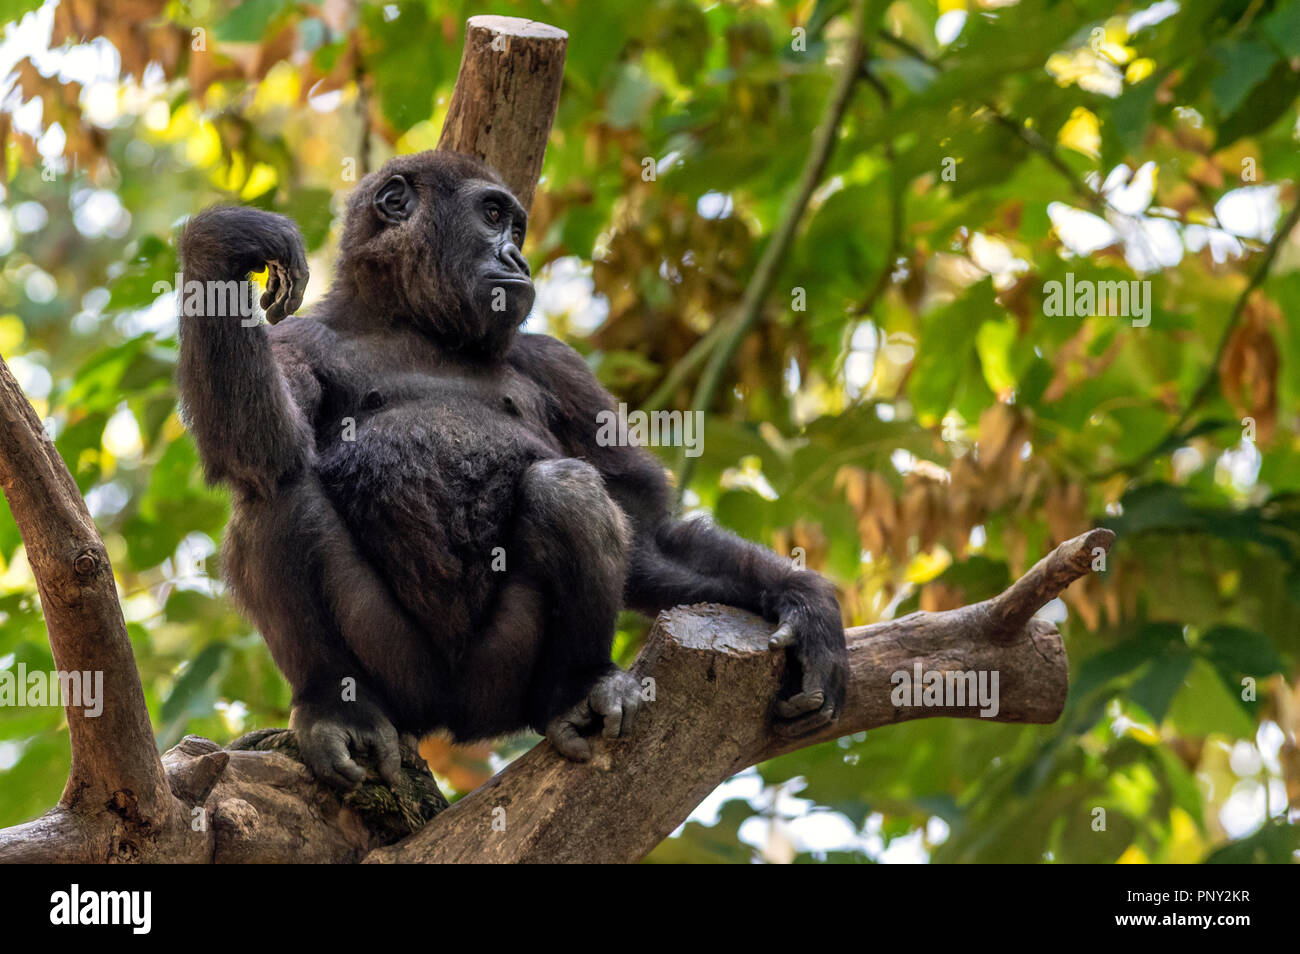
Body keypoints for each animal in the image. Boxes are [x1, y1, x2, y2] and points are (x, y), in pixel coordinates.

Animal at [176, 149, 848, 790]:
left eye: (516, 227)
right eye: (493, 216)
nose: (518, 259)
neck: (410, 322)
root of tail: (449, 721)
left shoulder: (557, 361)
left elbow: (648, 529)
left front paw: (802, 600)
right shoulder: (298, 339)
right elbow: (260, 451)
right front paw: (223, 244)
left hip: (502, 686)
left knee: (568, 491)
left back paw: (577, 687)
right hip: (400, 676)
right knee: (276, 493)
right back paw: (335, 704)